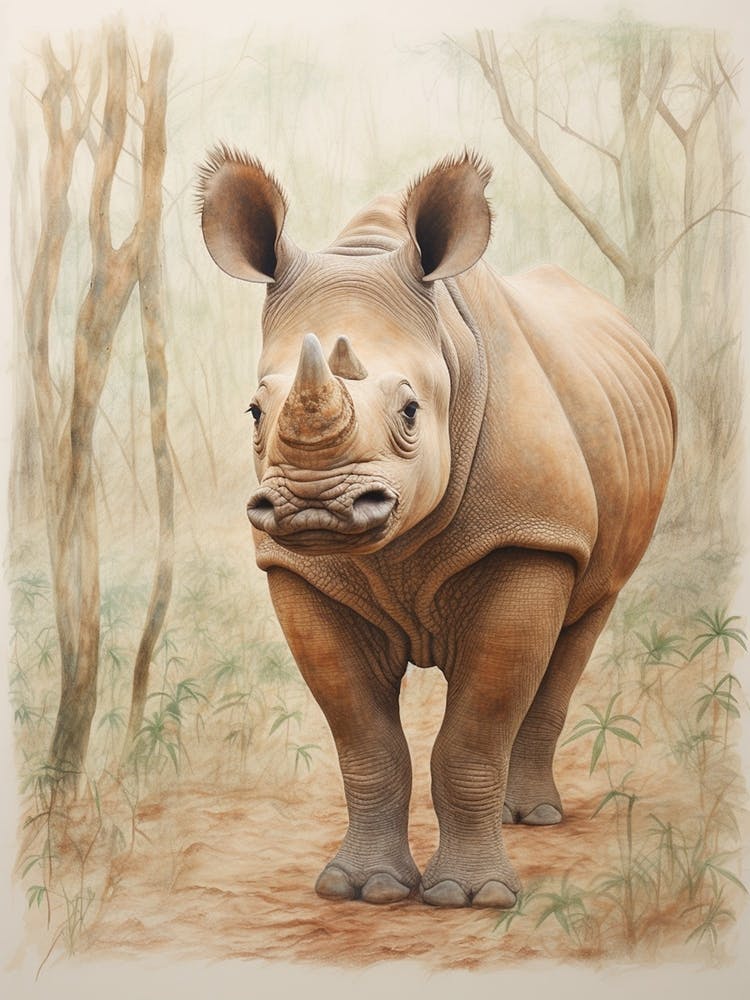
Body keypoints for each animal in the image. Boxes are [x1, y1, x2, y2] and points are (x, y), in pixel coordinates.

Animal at [198, 148, 676, 909]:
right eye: (253, 412)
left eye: (411, 412)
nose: (313, 504)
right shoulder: (299, 568)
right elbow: (364, 741)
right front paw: (361, 888)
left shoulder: (530, 535)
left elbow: (474, 731)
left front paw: (470, 898)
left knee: (584, 618)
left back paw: (533, 816)